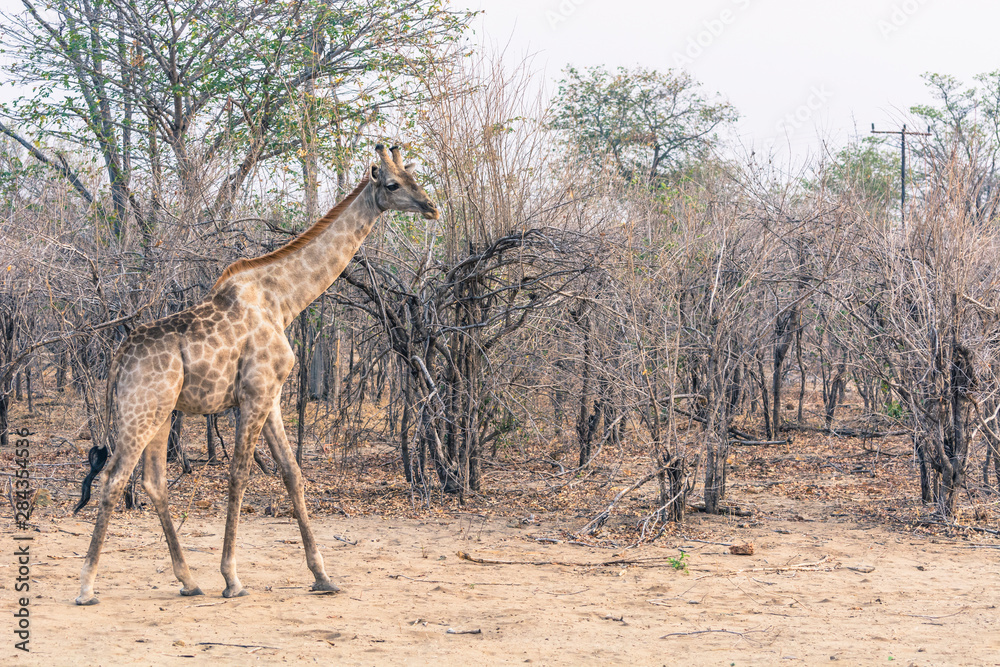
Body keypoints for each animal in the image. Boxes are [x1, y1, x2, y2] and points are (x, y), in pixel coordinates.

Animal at [73, 145, 438, 605]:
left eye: (413, 176)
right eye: (392, 184)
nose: (431, 207)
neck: (283, 301)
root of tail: (118, 359)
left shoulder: (274, 397)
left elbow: (292, 473)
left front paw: (323, 575)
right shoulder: (255, 393)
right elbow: (239, 474)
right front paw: (232, 578)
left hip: (159, 414)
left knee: (154, 482)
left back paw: (188, 581)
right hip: (141, 412)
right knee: (114, 479)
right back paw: (87, 587)